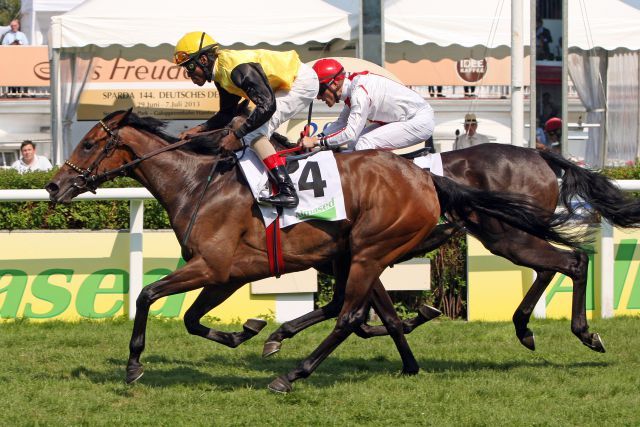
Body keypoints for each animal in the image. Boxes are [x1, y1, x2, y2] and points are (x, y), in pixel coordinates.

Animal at [45, 110, 568, 394]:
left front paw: (134, 364)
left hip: (383, 248)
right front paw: (249, 330)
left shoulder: (210, 265)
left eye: (89, 143)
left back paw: (292, 374)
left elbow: (147, 295)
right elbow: (193, 320)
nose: (53, 186)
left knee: (348, 316)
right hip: (366, 252)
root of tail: (425, 179)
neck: (198, 185)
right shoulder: (227, 273)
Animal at [262, 142, 640, 356]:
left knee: (571, 261)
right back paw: (524, 328)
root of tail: (538, 153)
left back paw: (583, 333)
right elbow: (352, 312)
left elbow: (364, 314)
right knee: (549, 267)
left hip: (508, 234)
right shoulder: (359, 261)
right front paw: (277, 335)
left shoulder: (364, 259)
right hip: (507, 235)